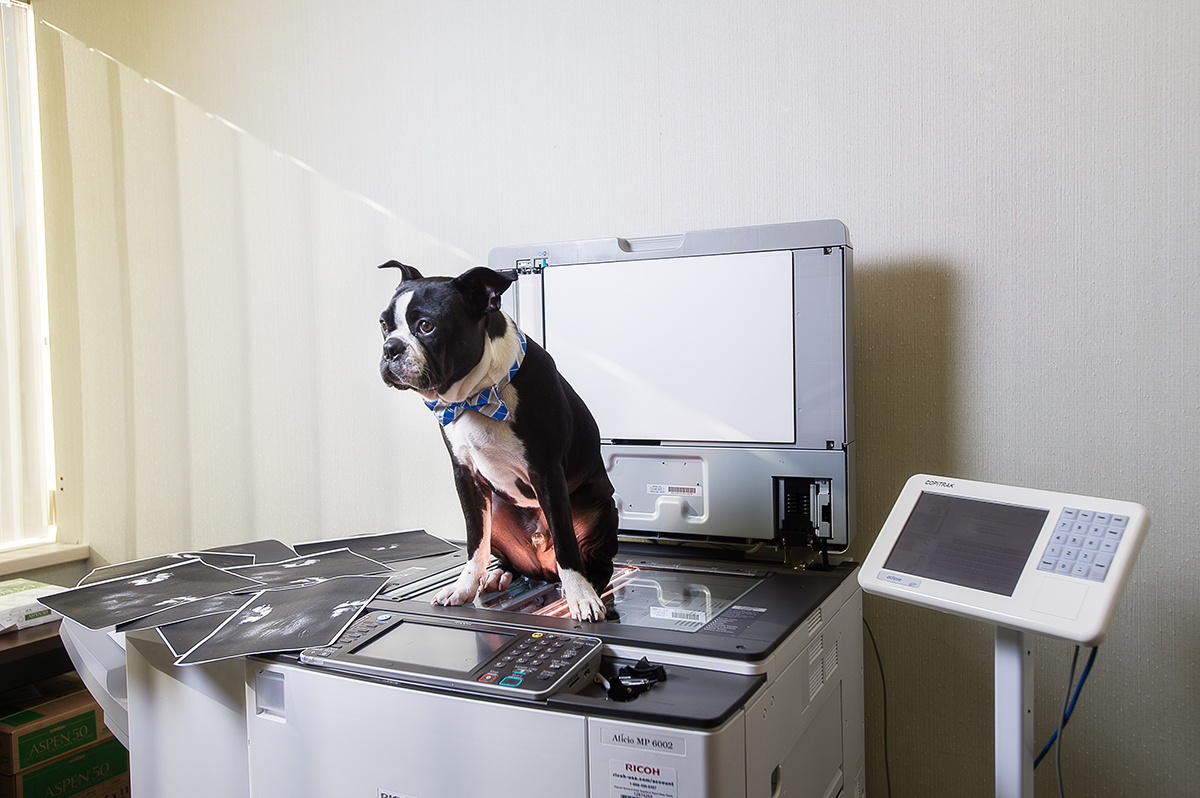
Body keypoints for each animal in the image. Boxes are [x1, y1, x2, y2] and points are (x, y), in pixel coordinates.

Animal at [376, 261, 624, 624]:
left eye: (426, 326)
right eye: (384, 325)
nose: (390, 347)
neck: (476, 396)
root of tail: (543, 568)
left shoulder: (547, 473)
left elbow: (566, 543)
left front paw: (582, 597)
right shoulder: (465, 476)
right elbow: (474, 542)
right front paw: (464, 587)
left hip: (598, 506)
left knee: (594, 559)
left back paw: (589, 583)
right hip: (497, 507)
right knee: (507, 558)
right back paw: (499, 574)